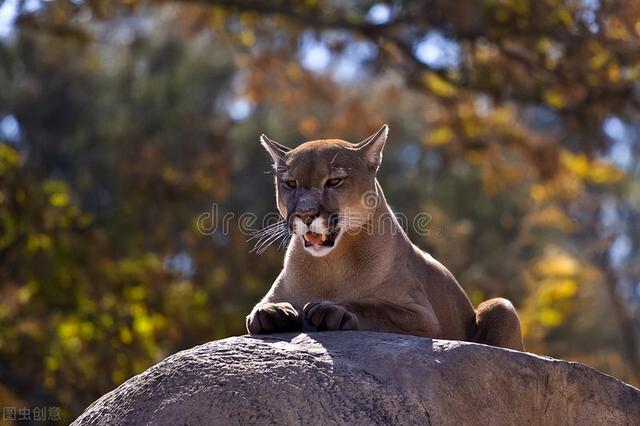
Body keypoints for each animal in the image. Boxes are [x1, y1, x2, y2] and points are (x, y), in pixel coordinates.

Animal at [245, 125, 524, 352]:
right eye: (291, 183)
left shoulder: (422, 316)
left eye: (334, 181)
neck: (331, 263)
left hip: (500, 306)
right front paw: (272, 311)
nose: (305, 213)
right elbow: (260, 309)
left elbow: (375, 308)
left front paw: (333, 310)